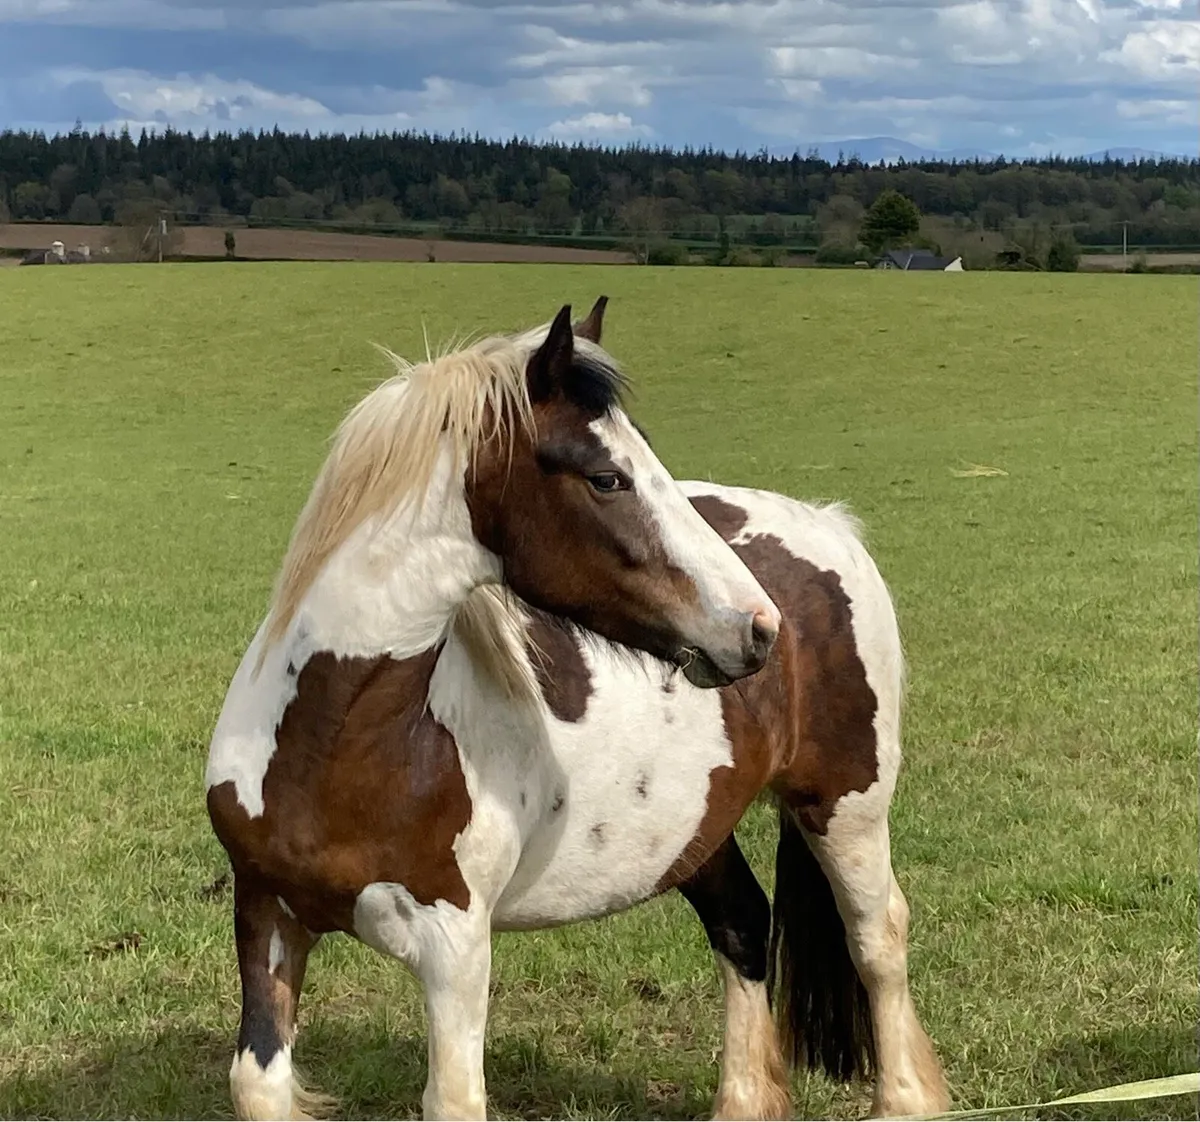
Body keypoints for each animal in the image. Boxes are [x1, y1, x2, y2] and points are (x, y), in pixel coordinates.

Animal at [205, 297, 950, 1121]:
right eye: (606, 477)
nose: (757, 626)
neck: (341, 744)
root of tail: (828, 524)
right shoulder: (267, 913)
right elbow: (257, 1078)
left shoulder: (455, 948)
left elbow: (453, 1096)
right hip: (700, 830)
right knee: (744, 927)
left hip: (846, 805)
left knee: (876, 939)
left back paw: (906, 1096)